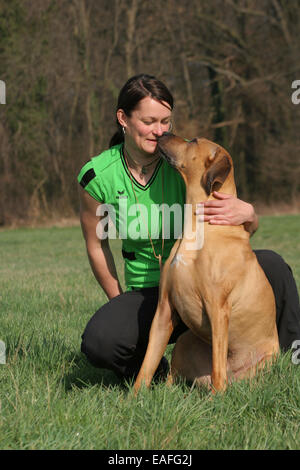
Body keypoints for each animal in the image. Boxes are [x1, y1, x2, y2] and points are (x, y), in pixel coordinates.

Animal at [134, 135, 278, 392]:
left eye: (193, 140)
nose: (162, 134)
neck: (196, 227)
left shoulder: (218, 308)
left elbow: (217, 367)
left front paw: (217, 397)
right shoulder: (164, 309)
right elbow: (147, 363)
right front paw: (133, 396)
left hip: (264, 362)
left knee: (222, 370)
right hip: (184, 341)